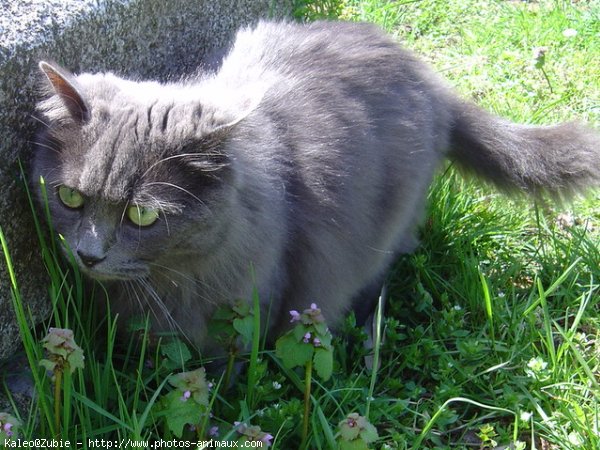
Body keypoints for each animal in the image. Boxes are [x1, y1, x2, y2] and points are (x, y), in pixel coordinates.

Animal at [31, 20, 600, 352]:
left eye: (142, 215)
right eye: (70, 198)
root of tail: (431, 80)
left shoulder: (251, 306)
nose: (88, 256)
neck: (172, 278)